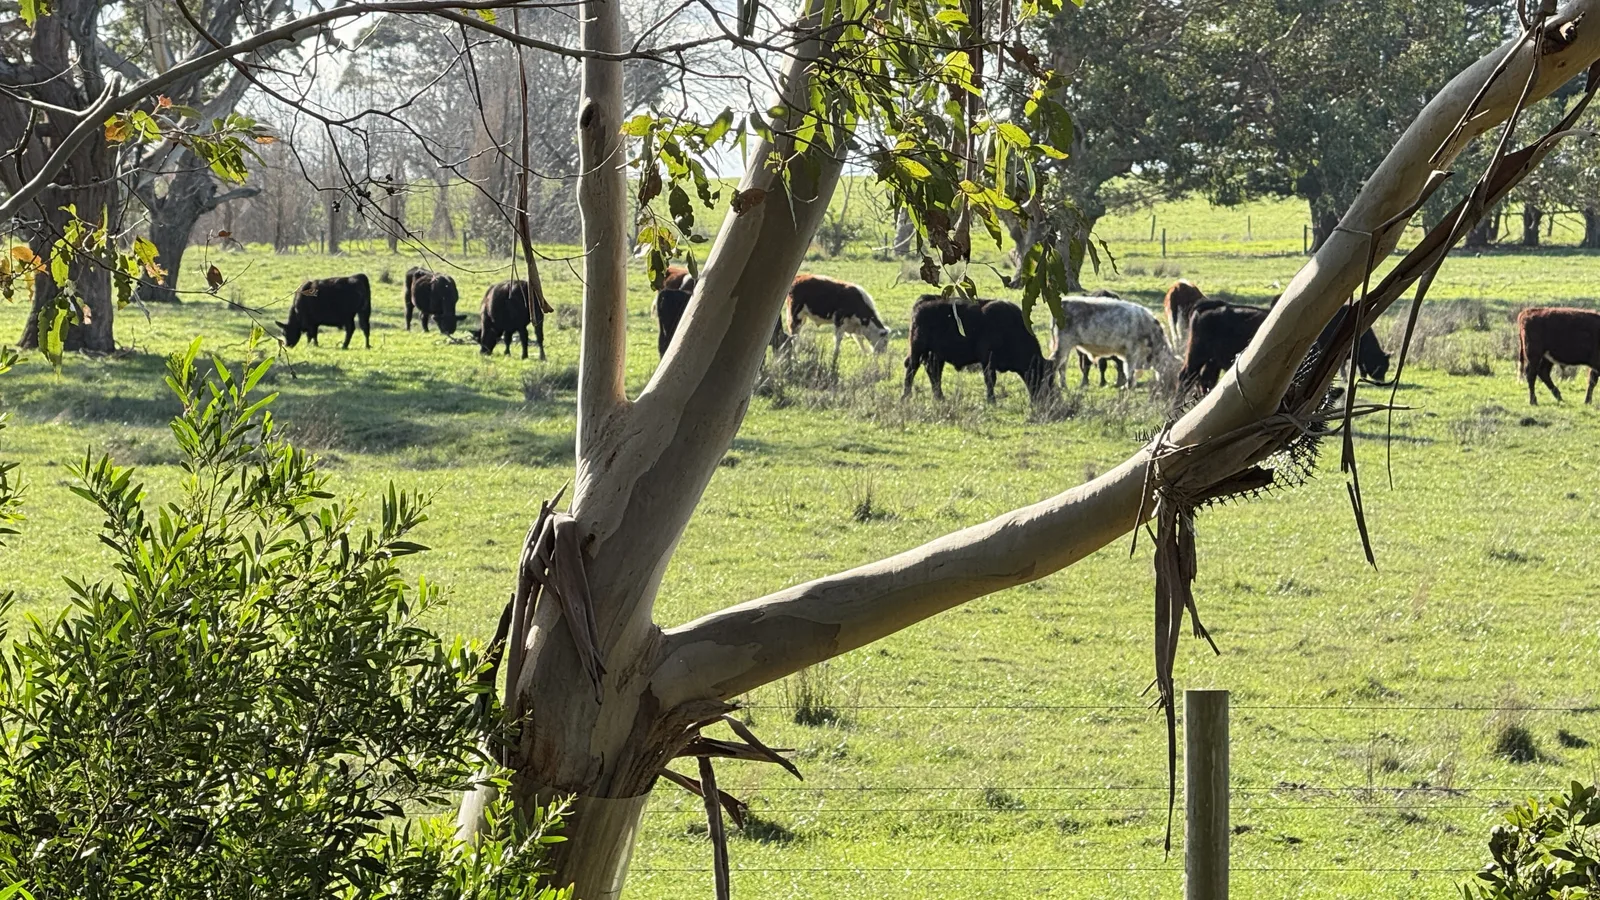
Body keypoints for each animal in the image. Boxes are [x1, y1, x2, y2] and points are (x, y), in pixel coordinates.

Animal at [903, 295, 1053, 405]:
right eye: (1043, 377)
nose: (1049, 401)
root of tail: (923, 301)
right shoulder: (988, 359)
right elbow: (990, 379)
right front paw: (991, 400)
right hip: (917, 351)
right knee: (912, 369)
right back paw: (906, 396)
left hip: (936, 356)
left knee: (934, 373)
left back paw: (939, 397)